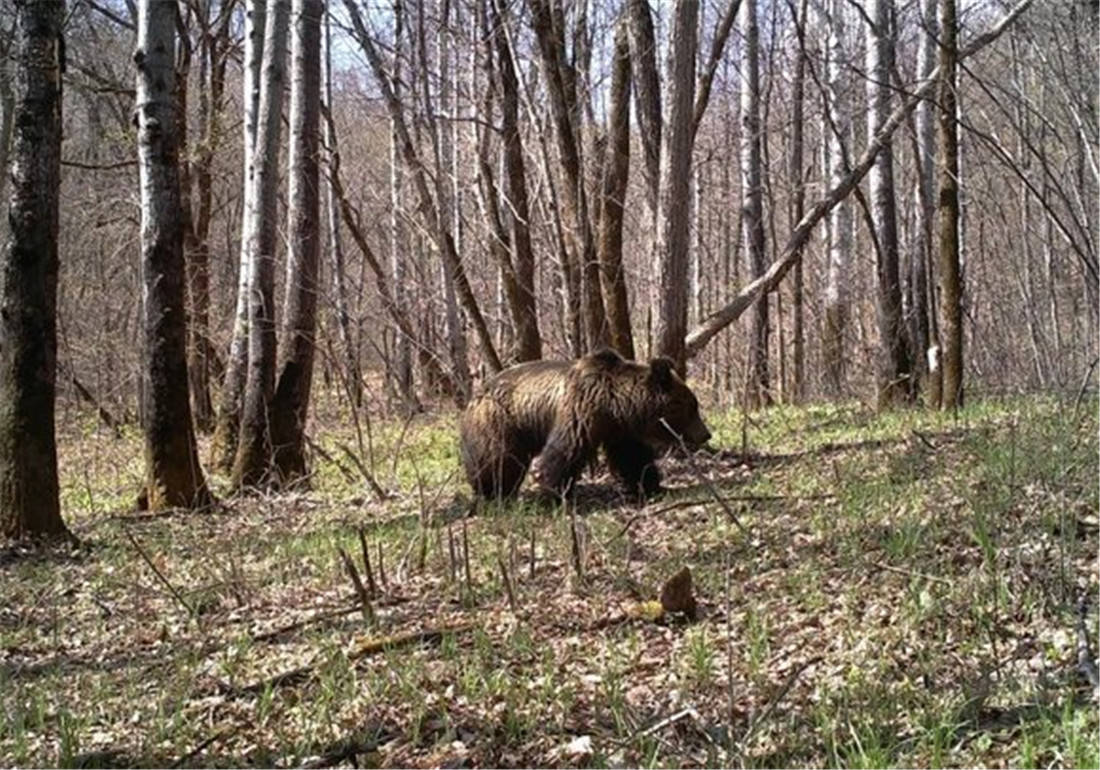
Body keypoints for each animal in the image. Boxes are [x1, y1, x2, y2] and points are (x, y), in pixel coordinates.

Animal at [457, 349, 708, 499]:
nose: (706, 434)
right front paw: (553, 493)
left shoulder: (619, 429)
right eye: (692, 407)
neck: (614, 404)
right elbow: (565, 451)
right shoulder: (581, 411)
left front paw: (650, 485)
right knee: (498, 458)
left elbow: (632, 456)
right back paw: (492, 492)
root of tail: (474, 397)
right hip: (500, 421)